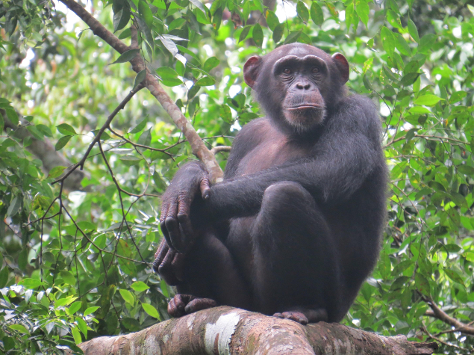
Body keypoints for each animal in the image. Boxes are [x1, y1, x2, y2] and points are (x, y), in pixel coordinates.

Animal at [154, 42, 386, 326]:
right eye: (287, 71)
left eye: (315, 70)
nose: (303, 86)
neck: (288, 131)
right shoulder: (247, 135)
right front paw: (186, 179)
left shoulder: (358, 113)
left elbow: (331, 168)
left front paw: (193, 202)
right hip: (241, 301)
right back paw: (195, 300)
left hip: (330, 304)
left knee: (283, 197)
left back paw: (304, 307)